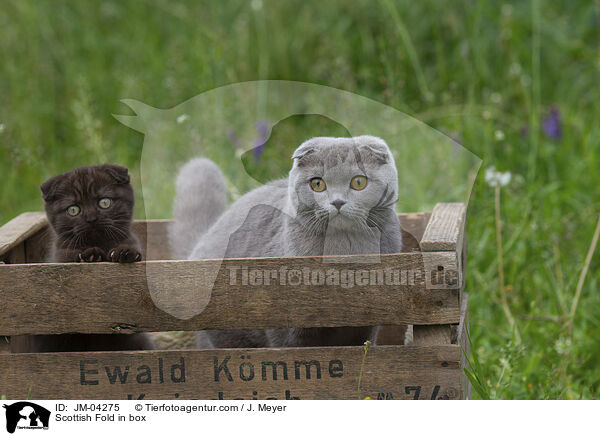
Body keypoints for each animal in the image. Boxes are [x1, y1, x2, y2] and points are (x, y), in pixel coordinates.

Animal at [28, 165, 155, 352]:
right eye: (73, 209)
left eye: (104, 202)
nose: (91, 219)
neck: (100, 243)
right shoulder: (59, 255)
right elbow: (71, 256)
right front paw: (90, 255)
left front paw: (125, 253)